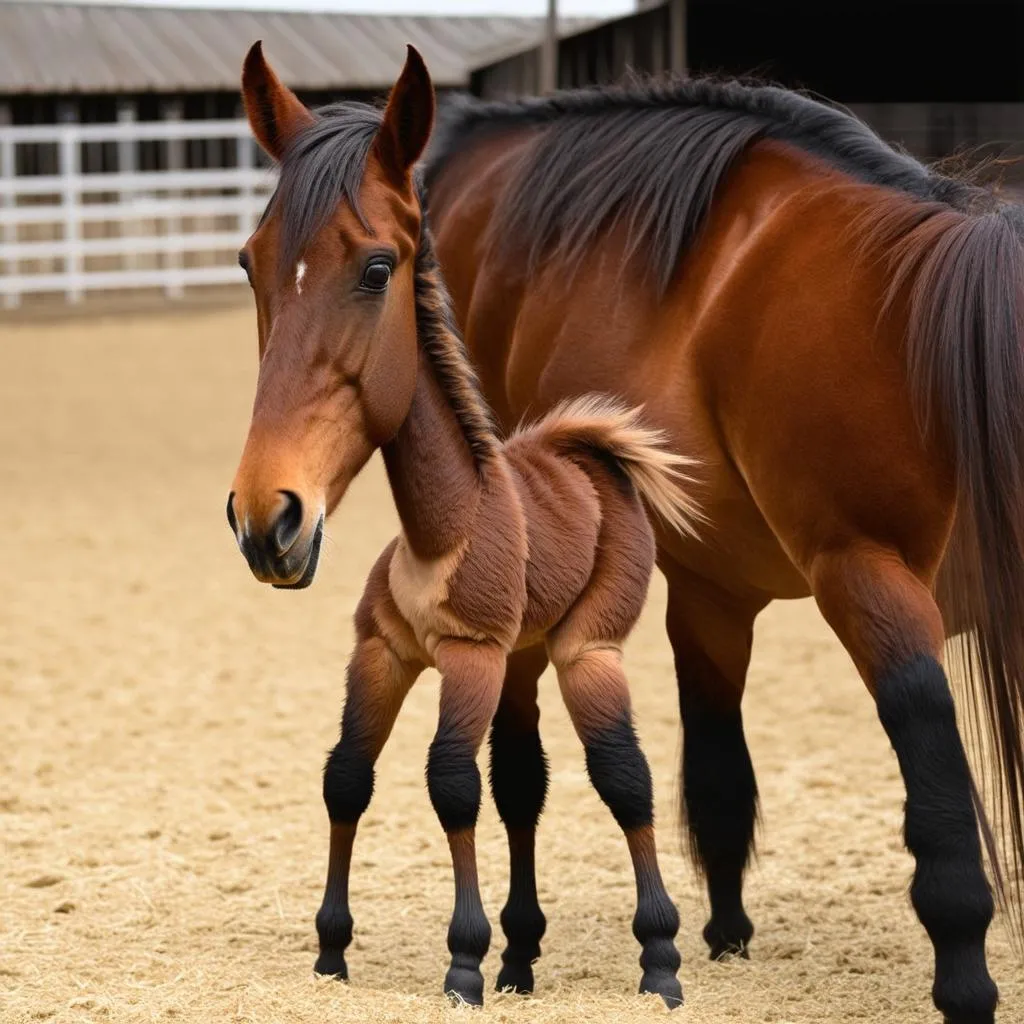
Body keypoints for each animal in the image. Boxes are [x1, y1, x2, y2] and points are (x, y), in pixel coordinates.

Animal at [230, 41, 704, 1007]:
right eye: (250, 265)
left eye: (377, 268)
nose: (268, 519)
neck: (438, 526)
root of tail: (590, 452)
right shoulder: (383, 651)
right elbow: (347, 776)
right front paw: (332, 950)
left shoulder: (470, 658)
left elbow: (450, 784)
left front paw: (462, 960)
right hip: (528, 657)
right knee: (527, 780)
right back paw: (524, 959)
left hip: (585, 650)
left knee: (624, 778)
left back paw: (660, 959)